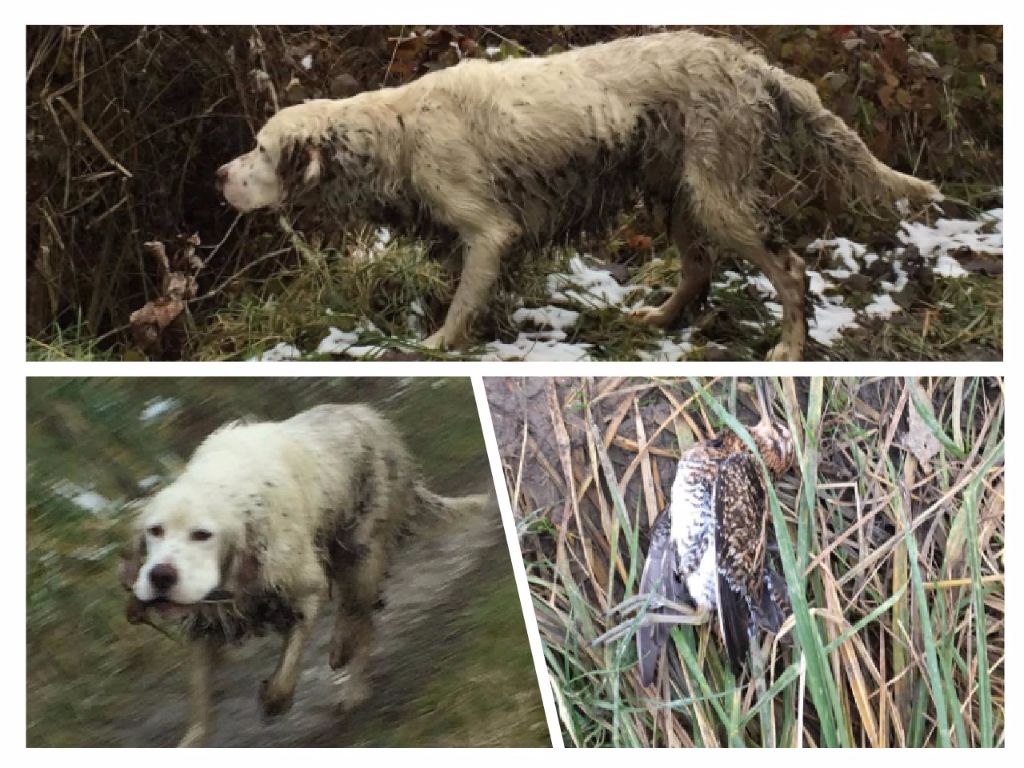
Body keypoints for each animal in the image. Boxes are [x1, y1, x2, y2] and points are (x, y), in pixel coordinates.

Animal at [119, 405, 487, 749]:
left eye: (202, 534)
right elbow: (199, 699)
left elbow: (287, 669)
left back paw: (348, 673)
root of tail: (371, 416)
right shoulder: (206, 622)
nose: (160, 576)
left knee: (359, 619)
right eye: (155, 530)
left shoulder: (305, 591)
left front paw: (275, 700)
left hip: (361, 553)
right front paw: (194, 739)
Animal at [216, 31, 937, 362]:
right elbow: (470, 292)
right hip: (674, 194)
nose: (220, 174)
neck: (397, 133)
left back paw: (789, 348)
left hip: (718, 197)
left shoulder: (488, 232)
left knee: (787, 267)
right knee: (698, 267)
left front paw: (438, 344)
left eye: (259, 148)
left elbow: (462, 303)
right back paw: (658, 319)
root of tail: (748, 63)